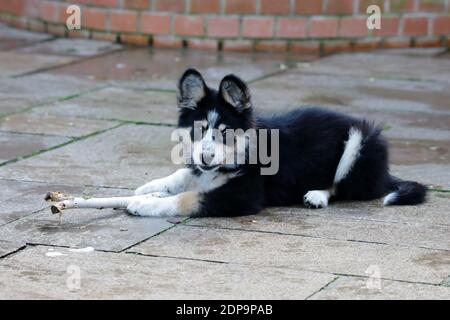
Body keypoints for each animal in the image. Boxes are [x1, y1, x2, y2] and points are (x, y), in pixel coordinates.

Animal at [125, 68, 426, 218]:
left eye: (225, 132)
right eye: (198, 131)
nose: (206, 158)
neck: (244, 149)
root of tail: (386, 172)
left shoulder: (244, 195)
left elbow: (187, 198)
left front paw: (143, 205)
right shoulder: (203, 172)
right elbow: (182, 176)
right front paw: (147, 189)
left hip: (359, 142)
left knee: (344, 187)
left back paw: (317, 195)